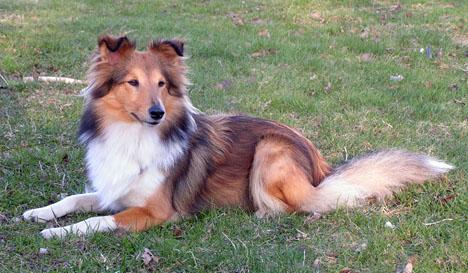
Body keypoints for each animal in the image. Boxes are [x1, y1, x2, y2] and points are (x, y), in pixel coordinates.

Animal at [22, 35, 454, 238]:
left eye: (162, 84)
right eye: (132, 83)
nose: (157, 113)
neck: (134, 134)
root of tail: (322, 170)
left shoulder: (156, 212)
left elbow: (97, 221)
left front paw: (56, 232)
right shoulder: (115, 188)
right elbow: (75, 199)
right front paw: (38, 213)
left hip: (271, 149)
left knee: (295, 207)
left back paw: (257, 214)